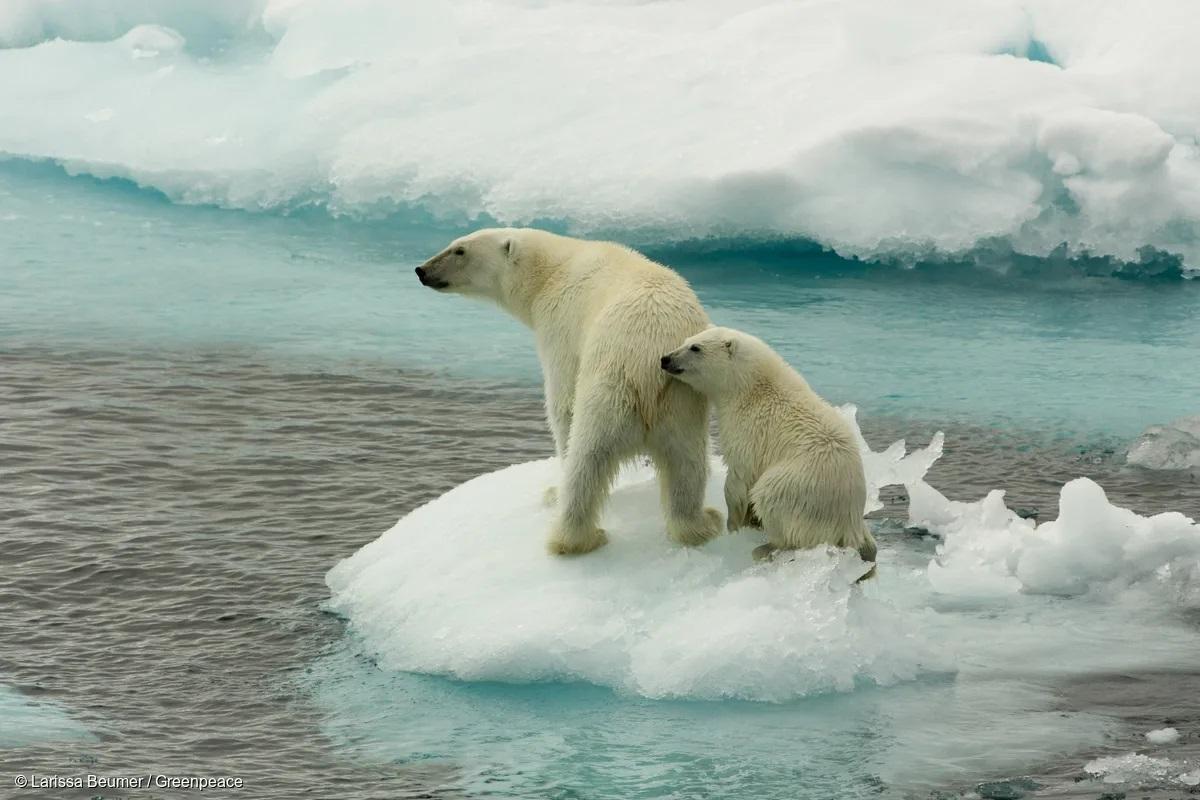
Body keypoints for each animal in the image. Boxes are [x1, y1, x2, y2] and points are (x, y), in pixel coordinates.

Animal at [417, 227, 720, 554]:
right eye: (453, 244)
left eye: (460, 250)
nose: (422, 270)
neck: (552, 271)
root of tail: (648, 366)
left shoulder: (560, 325)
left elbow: (561, 400)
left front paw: (553, 489)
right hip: (682, 403)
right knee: (687, 464)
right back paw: (700, 523)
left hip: (610, 389)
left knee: (586, 459)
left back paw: (573, 533)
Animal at [662, 326, 878, 575]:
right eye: (685, 340)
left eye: (695, 348)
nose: (665, 359)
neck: (751, 387)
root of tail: (848, 520)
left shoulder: (749, 430)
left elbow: (739, 478)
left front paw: (734, 525)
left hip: (799, 487)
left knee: (770, 497)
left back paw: (766, 548)